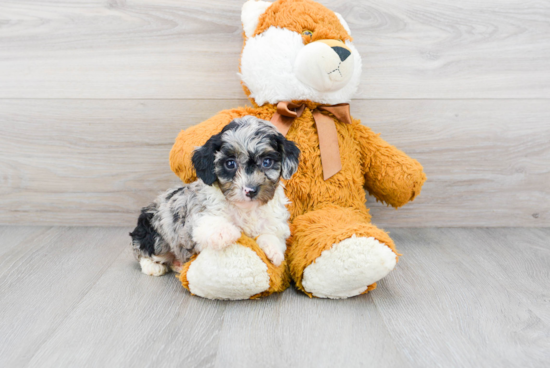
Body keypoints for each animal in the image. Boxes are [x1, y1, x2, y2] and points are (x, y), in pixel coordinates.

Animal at [130, 115, 302, 276]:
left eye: (267, 162)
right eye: (230, 164)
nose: (250, 190)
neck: (246, 209)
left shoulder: (273, 222)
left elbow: (272, 234)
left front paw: (274, 250)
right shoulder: (195, 221)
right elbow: (211, 224)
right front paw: (227, 232)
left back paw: (178, 264)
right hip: (154, 236)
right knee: (144, 252)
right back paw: (153, 266)